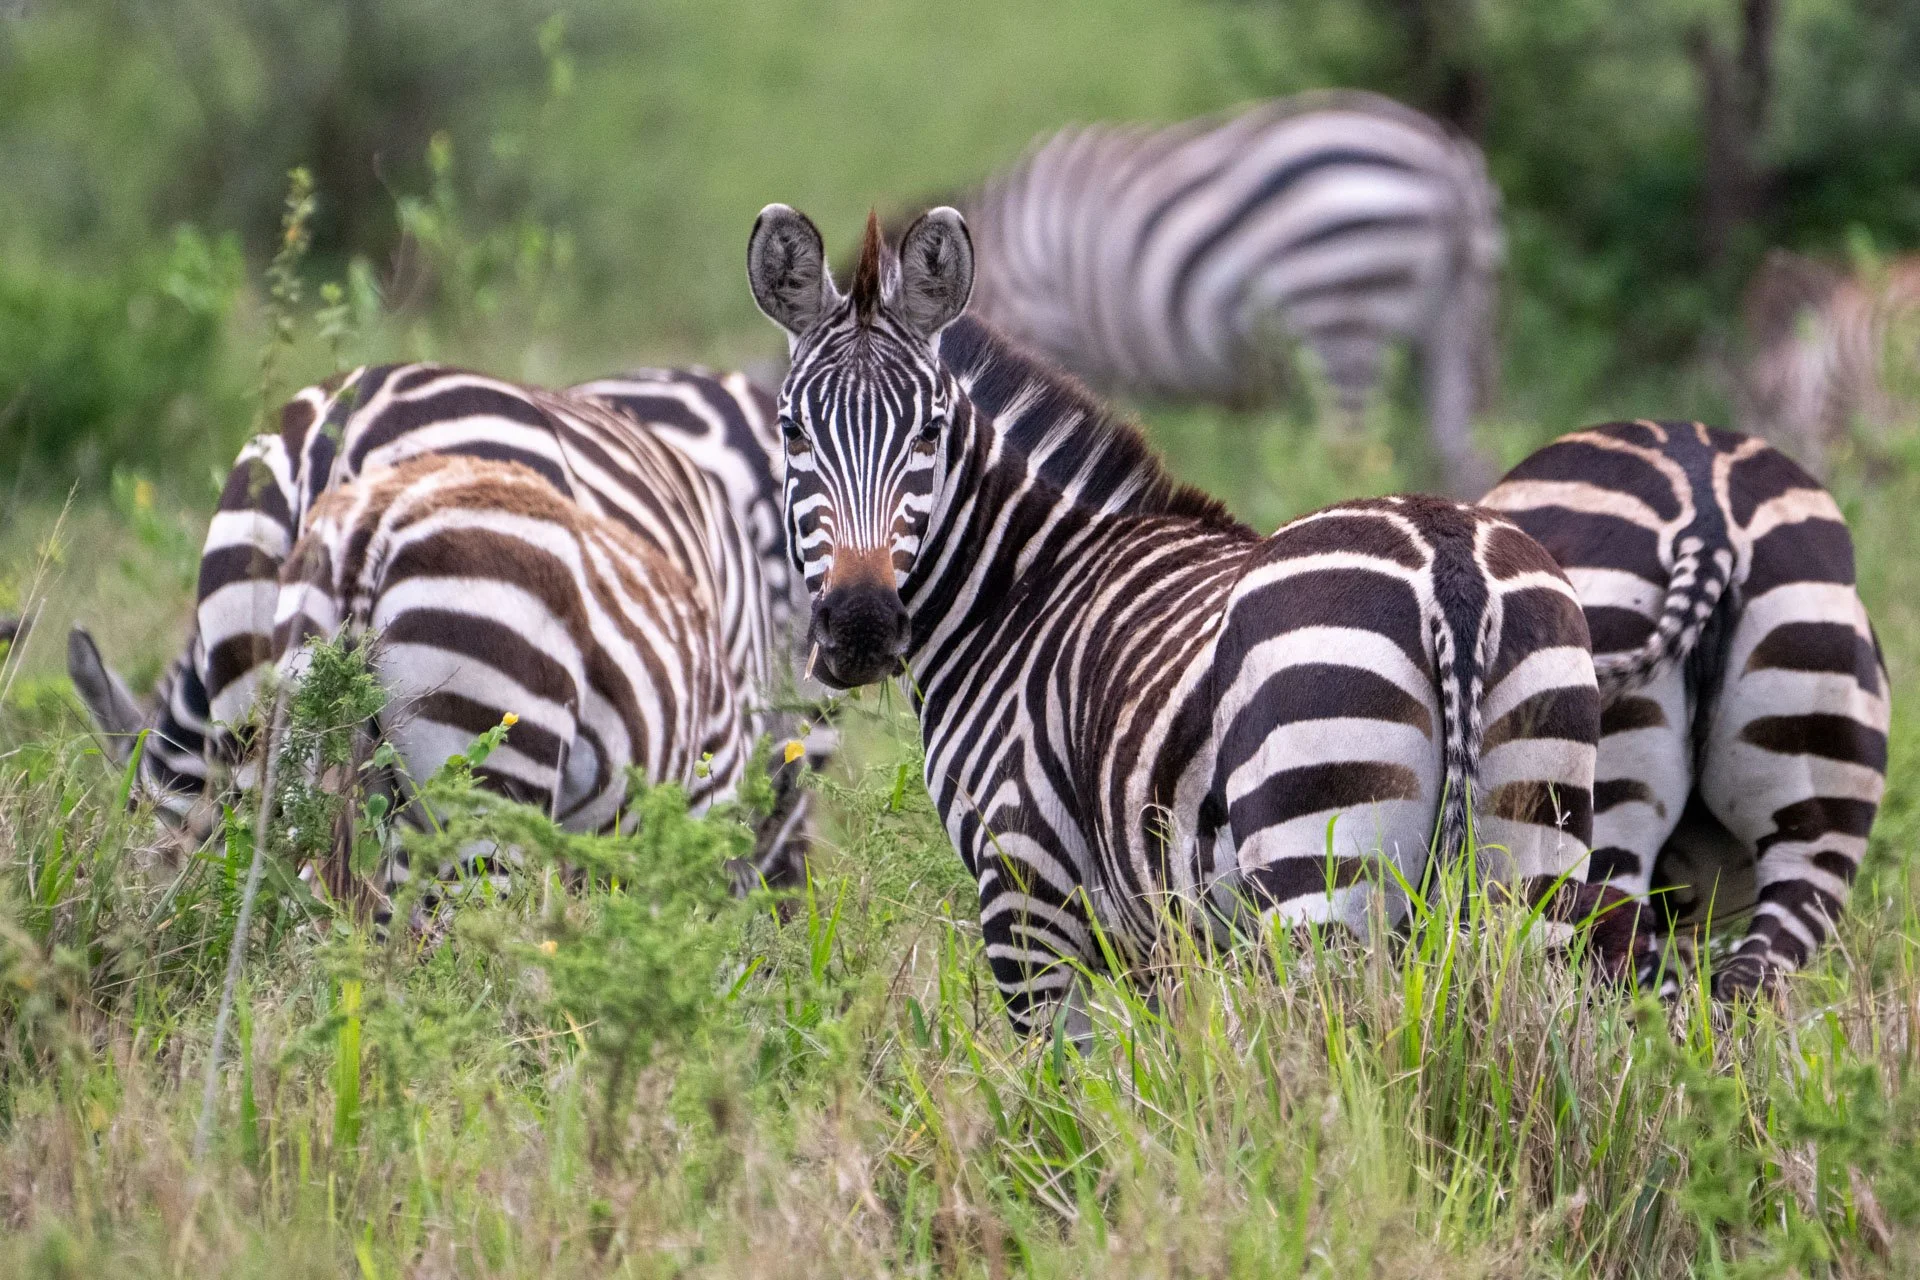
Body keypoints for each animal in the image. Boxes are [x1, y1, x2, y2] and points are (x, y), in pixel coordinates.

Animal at [747, 204, 1620, 1033]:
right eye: (791, 431)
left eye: (929, 431)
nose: (860, 626)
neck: (1018, 589)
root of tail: (1450, 563)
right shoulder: (1160, 947)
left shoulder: (1026, 895)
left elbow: (1061, 1087)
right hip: (1535, 873)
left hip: (1320, 880)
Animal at [947, 90, 1504, 496]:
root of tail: (1448, 161)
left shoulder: (1049, 337)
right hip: (1451, 319)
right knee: (1463, 456)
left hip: (1338, 316)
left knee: (1354, 458)